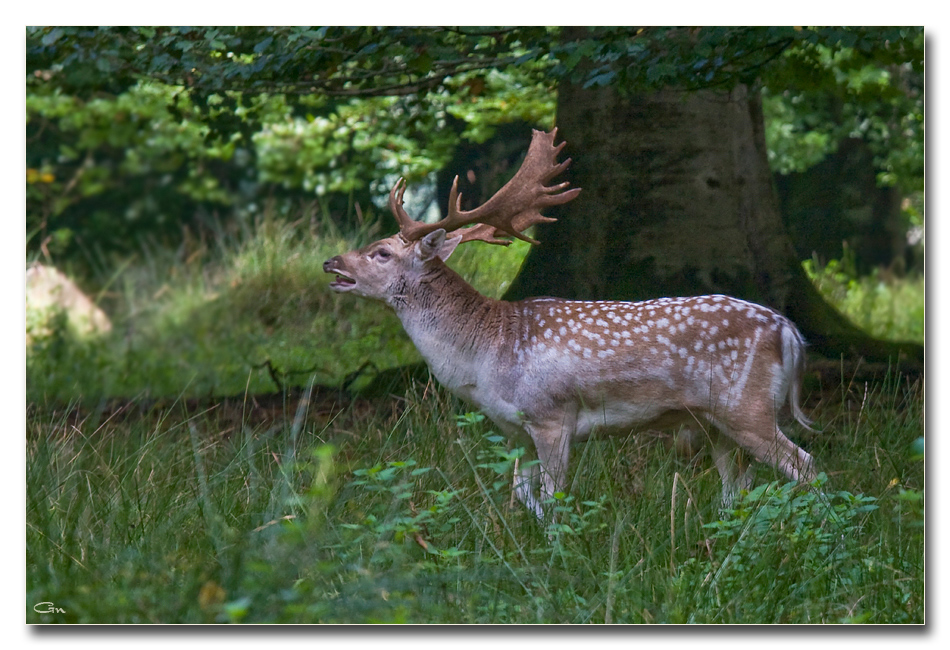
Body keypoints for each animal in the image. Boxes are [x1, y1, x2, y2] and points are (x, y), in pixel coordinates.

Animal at [326, 129, 820, 520]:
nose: (332, 263)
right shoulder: (515, 431)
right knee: (737, 488)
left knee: (806, 465)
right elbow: (524, 496)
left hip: (747, 405)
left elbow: (552, 498)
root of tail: (789, 332)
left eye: (381, 253)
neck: (485, 355)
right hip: (715, 421)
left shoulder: (551, 415)